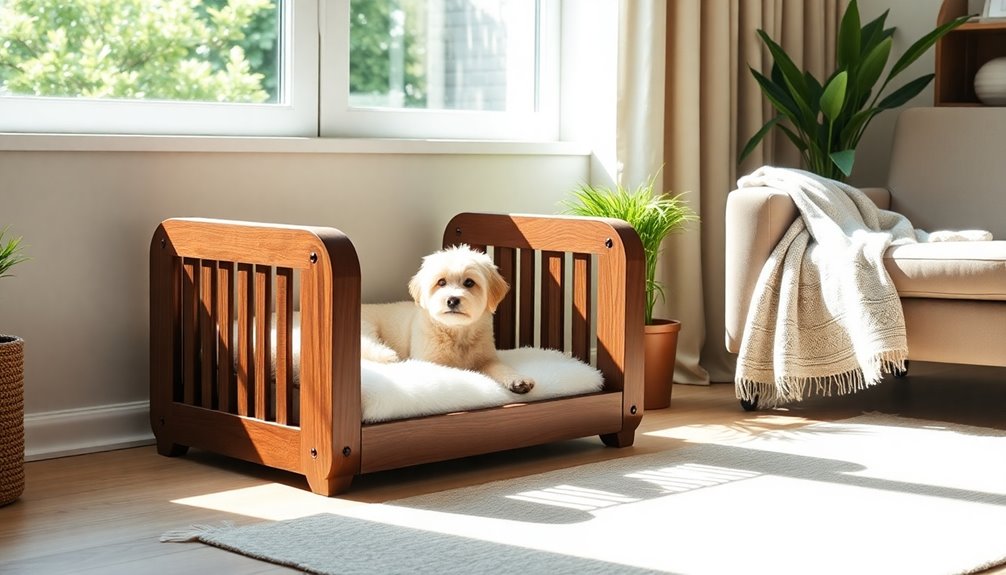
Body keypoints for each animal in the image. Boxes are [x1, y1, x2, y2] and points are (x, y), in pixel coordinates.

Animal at [360, 245, 535, 394]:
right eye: (441, 282)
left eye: (469, 282)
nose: (452, 300)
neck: (457, 333)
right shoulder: (429, 361)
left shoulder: (487, 358)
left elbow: (501, 367)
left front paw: (518, 380)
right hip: (367, 328)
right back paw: (389, 356)